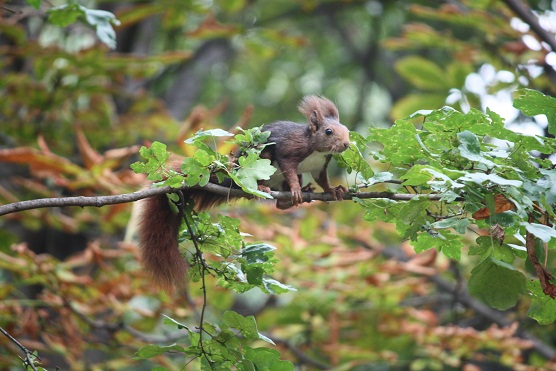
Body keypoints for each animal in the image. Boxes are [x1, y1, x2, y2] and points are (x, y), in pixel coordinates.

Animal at [137, 96, 350, 294]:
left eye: (347, 130)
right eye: (328, 131)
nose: (347, 144)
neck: (315, 149)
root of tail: (236, 175)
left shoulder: (320, 165)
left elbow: (322, 180)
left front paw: (333, 191)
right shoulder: (290, 151)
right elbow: (289, 169)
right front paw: (296, 189)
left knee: (280, 203)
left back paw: (294, 196)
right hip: (263, 158)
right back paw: (265, 188)